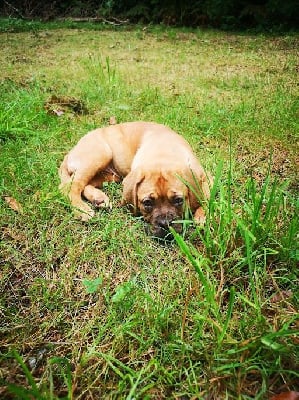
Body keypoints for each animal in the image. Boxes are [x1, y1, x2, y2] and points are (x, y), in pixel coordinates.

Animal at [58, 121, 212, 238]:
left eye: (179, 200)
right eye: (147, 202)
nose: (165, 224)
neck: (164, 155)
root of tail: (71, 152)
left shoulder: (207, 177)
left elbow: (206, 198)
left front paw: (201, 216)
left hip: (110, 174)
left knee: (84, 184)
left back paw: (98, 198)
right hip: (100, 155)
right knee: (70, 186)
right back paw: (82, 210)